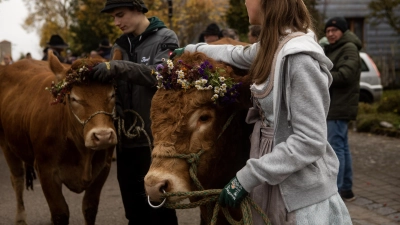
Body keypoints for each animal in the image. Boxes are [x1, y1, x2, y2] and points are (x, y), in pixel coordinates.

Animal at [0, 51, 118, 225]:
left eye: (112, 95)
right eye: (74, 98)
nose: (102, 136)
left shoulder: (103, 168)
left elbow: (89, 208)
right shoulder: (45, 170)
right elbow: (60, 213)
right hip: (7, 144)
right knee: (17, 179)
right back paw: (20, 218)